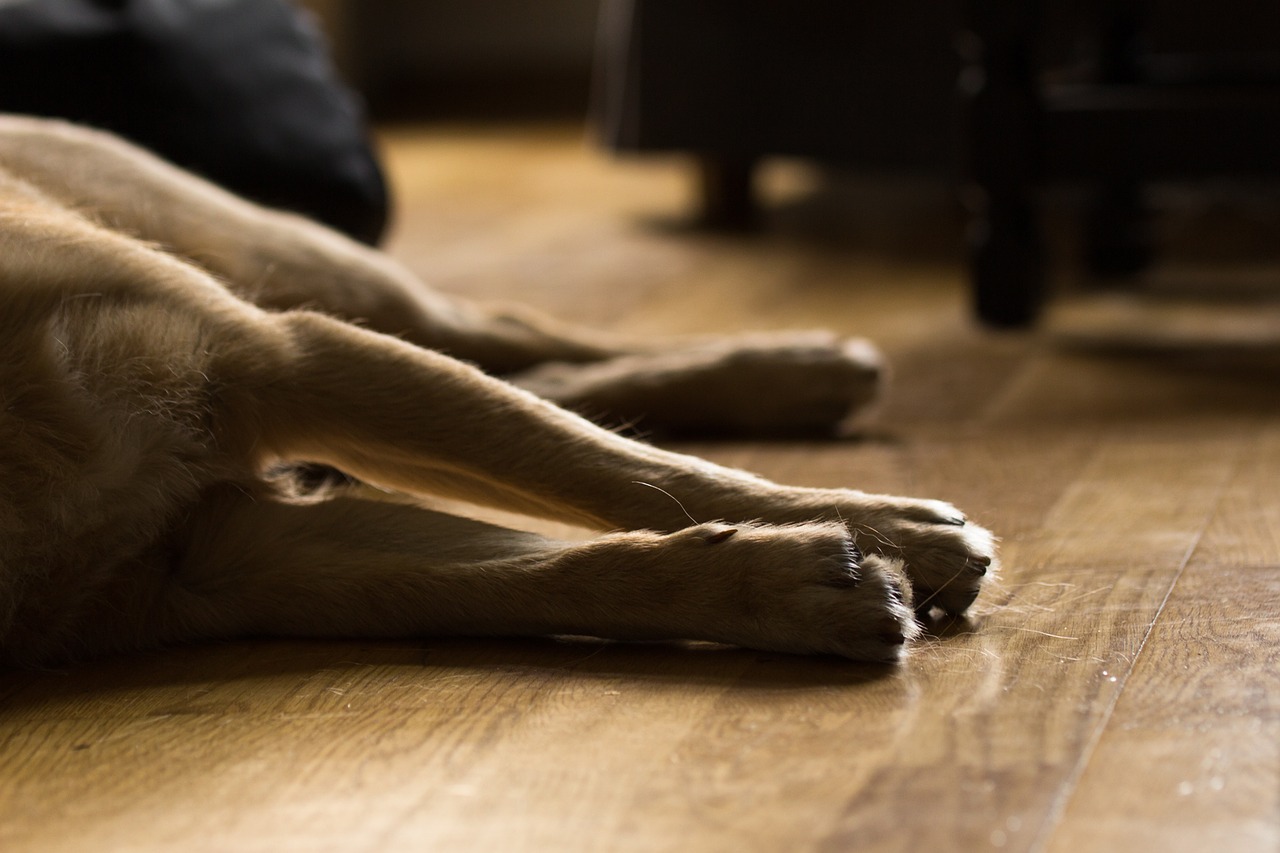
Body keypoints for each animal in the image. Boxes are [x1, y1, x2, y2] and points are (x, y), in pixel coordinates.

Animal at [0, 116, 993, 666]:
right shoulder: (223, 561)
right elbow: (539, 575)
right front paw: (787, 586)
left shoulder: (277, 358)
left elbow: (619, 473)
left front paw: (898, 530)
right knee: (534, 374)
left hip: (296, 262)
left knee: (515, 338)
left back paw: (804, 369)